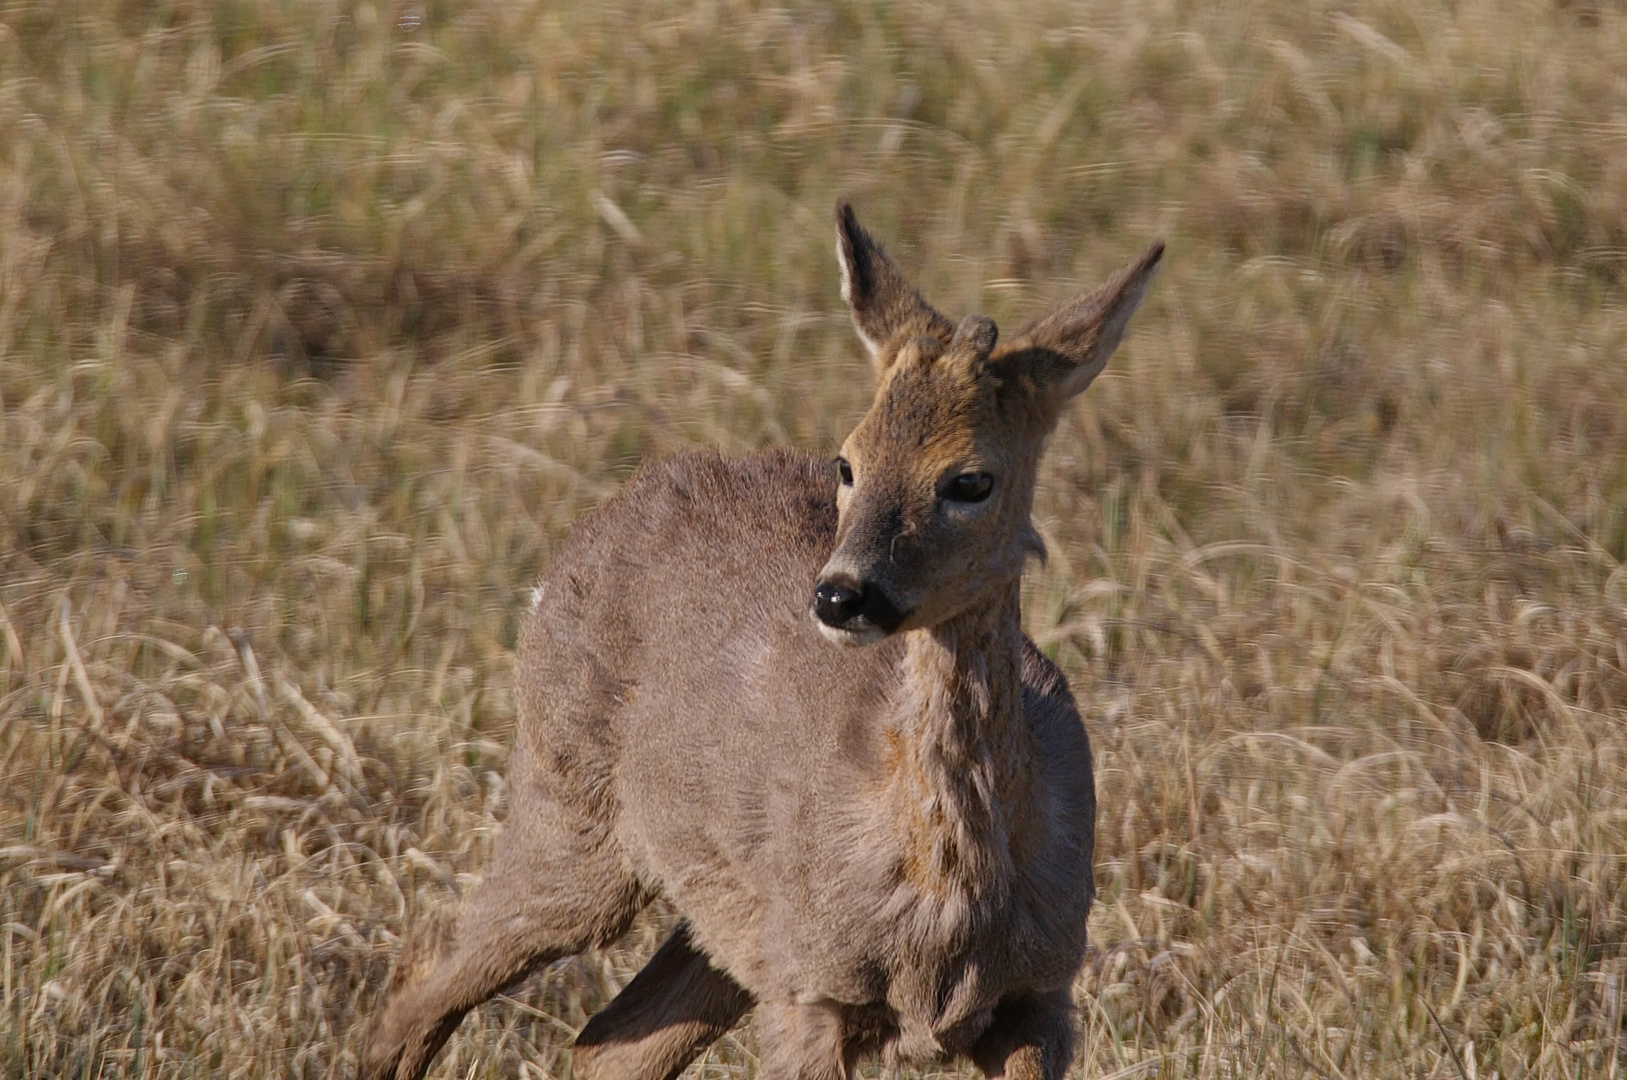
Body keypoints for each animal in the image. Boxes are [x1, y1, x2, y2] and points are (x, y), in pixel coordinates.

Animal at [362, 202, 1164, 1080]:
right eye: (848, 461)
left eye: (970, 480)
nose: (841, 594)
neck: (948, 890)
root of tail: (600, 519)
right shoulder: (809, 990)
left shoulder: (1038, 991)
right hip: (573, 806)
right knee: (429, 965)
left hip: (719, 914)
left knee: (608, 1039)